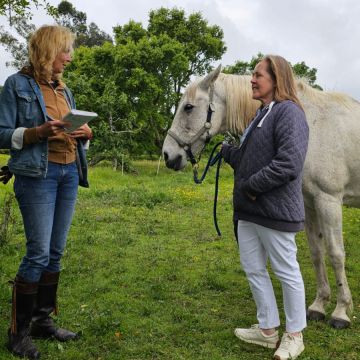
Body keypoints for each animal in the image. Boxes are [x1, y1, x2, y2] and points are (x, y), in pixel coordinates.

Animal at [163, 65, 360, 330]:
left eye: (188, 107)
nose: (167, 155)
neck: (312, 125)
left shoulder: (329, 201)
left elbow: (336, 255)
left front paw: (340, 311)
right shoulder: (309, 204)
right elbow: (317, 253)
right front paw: (319, 306)